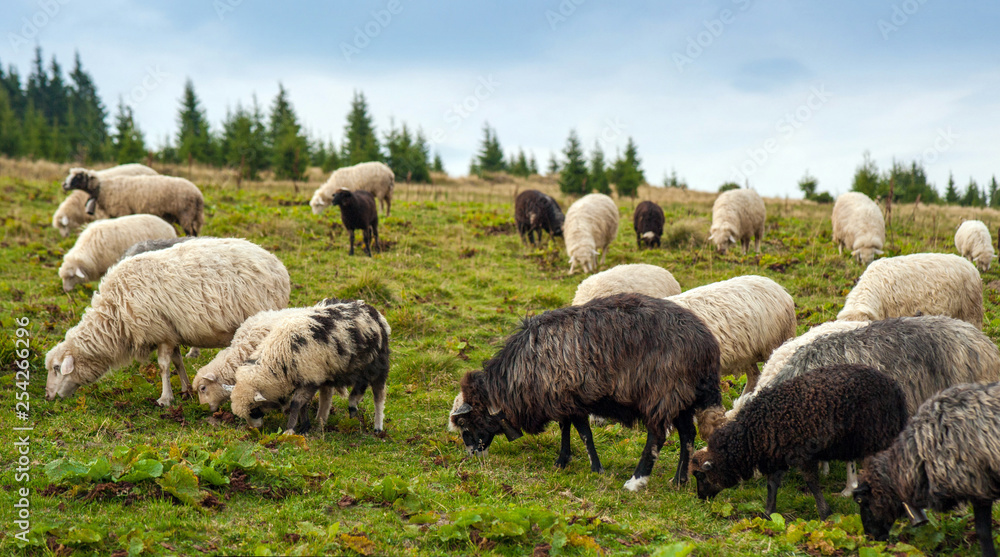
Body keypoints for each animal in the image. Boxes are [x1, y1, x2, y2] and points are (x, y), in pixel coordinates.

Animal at [44, 238, 290, 407]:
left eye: (57, 368)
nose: (47, 395)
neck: (114, 317)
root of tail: (277, 264)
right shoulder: (172, 333)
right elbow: (177, 362)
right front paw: (184, 389)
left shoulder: (160, 332)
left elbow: (163, 366)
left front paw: (165, 398)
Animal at [62, 170, 204, 236]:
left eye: (78, 176)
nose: (64, 185)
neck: (102, 189)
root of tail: (198, 194)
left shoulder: (122, 210)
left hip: (185, 213)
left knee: (190, 232)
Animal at [229, 299, 391, 435]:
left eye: (254, 411)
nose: (255, 429)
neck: (278, 354)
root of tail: (371, 310)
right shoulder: (308, 378)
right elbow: (304, 404)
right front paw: (305, 426)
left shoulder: (310, 377)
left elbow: (296, 404)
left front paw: (290, 430)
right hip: (349, 368)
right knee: (354, 387)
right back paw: (346, 409)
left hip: (377, 364)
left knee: (378, 395)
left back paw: (377, 426)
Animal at [448, 293, 727, 492]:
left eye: (467, 422)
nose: (472, 456)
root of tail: (707, 347)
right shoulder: (562, 400)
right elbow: (566, 429)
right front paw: (562, 461)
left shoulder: (572, 399)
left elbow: (584, 434)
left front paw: (596, 469)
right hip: (682, 397)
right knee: (687, 435)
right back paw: (679, 481)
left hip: (662, 393)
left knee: (657, 437)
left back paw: (636, 481)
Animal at [690, 364, 908, 519]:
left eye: (700, 476)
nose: (701, 498)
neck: (753, 432)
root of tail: (895, 387)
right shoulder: (778, 454)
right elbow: (772, 484)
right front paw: (768, 513)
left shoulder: (802, 454)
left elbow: (811, 483)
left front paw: (825, 513)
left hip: (878, 437)